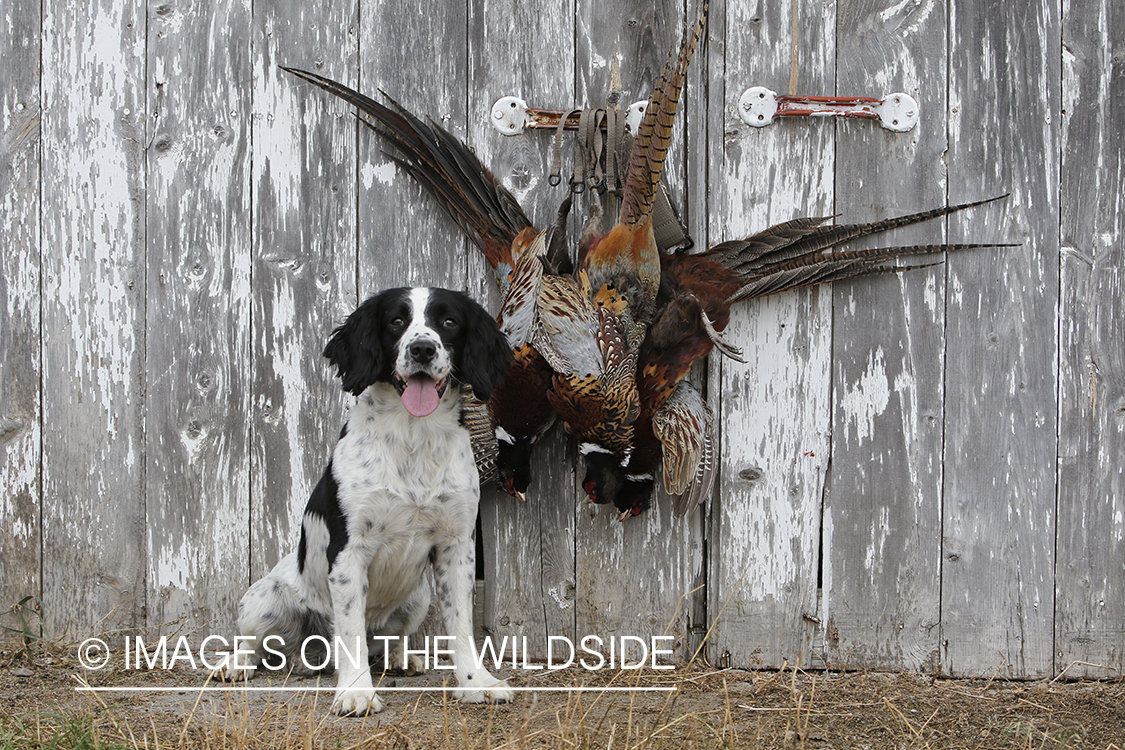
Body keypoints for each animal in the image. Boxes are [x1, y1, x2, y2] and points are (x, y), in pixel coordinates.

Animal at [227, 285, 515, 715]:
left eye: (449, 322)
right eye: (395, 321)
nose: (422, 349)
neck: (414, 437)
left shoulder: (457, 546)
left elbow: (462, 624)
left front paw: (475, 682)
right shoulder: (349, 552)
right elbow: (350, 632)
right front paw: (356, 692)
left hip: (418, 596)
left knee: (388, 640)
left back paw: (401, 658)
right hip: (263, 598)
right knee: (254, 644)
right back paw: (234, 664)